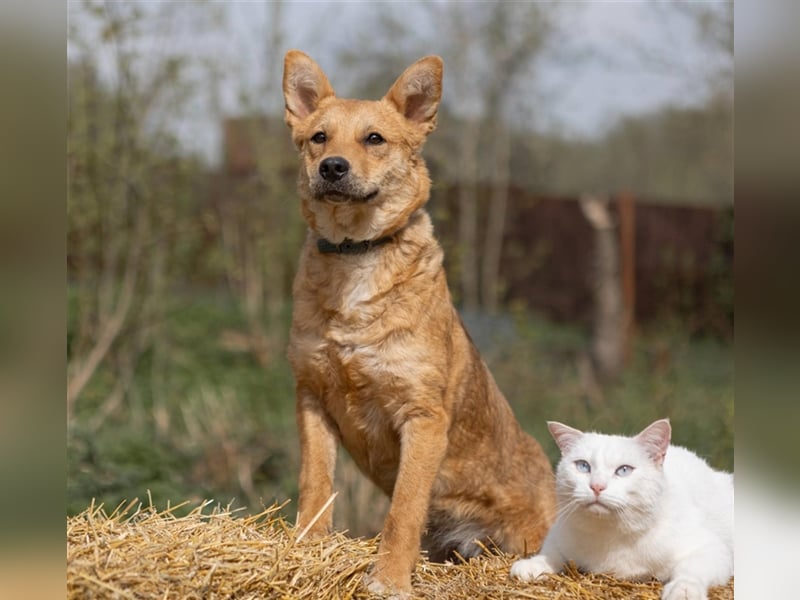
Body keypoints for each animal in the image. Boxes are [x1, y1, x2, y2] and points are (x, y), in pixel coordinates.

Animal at [282, 50, 556, 596]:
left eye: (374, 138)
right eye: (319, 137)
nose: (332, 167)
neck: (356, 256)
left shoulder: (423, 418)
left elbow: (403, 511)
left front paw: (388, 579)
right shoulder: (312, 398)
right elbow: (315, 485)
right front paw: (306, 550)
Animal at [510, 418, 736, 600]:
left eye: (624, 470)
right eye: (583, 466)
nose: (597, 486)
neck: (611, 534)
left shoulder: (712, 549)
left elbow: (691, 570)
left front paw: (684, 590)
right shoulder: (559, 533)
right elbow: (552, 554)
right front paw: (532, 564)